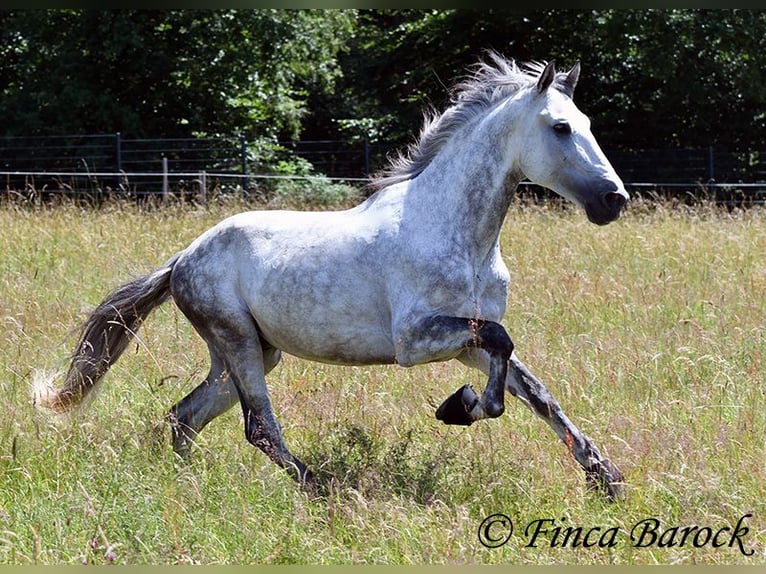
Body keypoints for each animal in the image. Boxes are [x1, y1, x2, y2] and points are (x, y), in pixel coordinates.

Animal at [35, 53, 629, 500]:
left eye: (589, 125)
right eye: (560, 127)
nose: (614, 200)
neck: (457, 233)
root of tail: (182, 258)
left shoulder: (466, 342)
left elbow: (535, 391)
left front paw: (607, 480)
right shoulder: (416, 340)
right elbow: (503, 355)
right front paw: (457, 408)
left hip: (249, 353)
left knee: (184, 417)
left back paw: (186, 484)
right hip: (237, 341)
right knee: (257, 428)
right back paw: (320, 486)